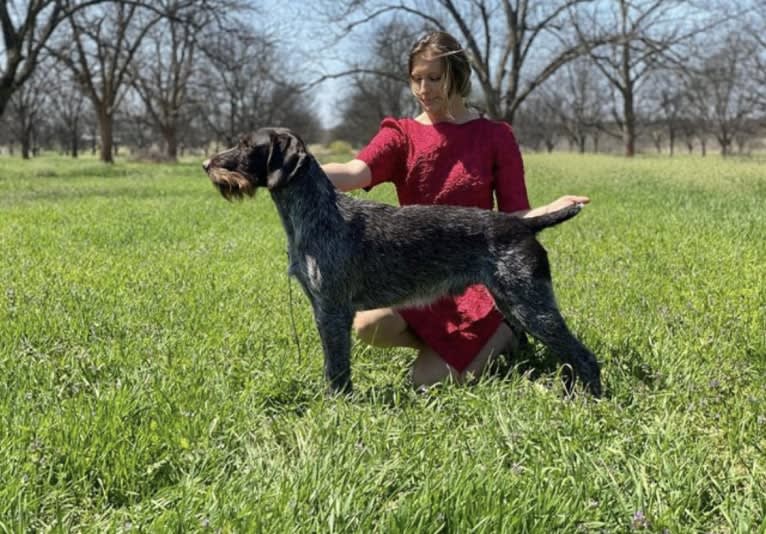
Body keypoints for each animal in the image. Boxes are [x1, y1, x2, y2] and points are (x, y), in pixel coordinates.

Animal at [206, 127, 608, 396]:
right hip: (513, 302)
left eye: (248, 146)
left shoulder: (333, 309)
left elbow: (337, 365)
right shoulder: (322, 308)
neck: (315, 214)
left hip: (531, 305)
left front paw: (337, 402)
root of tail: (523, 224)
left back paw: (587, 400)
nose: (207, 164)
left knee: (583, 356)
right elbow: (331, 362)